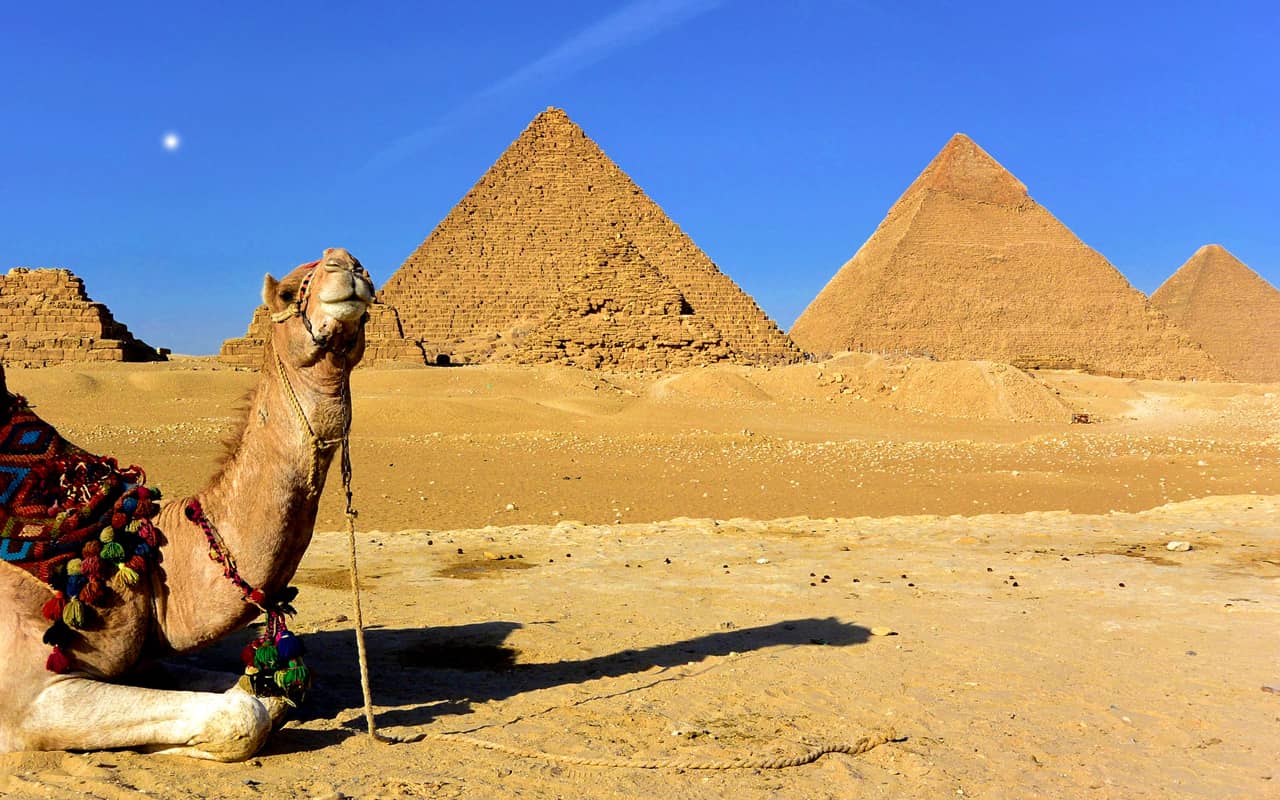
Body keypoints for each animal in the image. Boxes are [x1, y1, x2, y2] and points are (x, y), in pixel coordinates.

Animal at [0, 248, 374, 761]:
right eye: (285, 293)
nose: (348, 264)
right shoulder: (30, 696)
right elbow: (244, 714)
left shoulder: (140, 660)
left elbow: (266, 695)